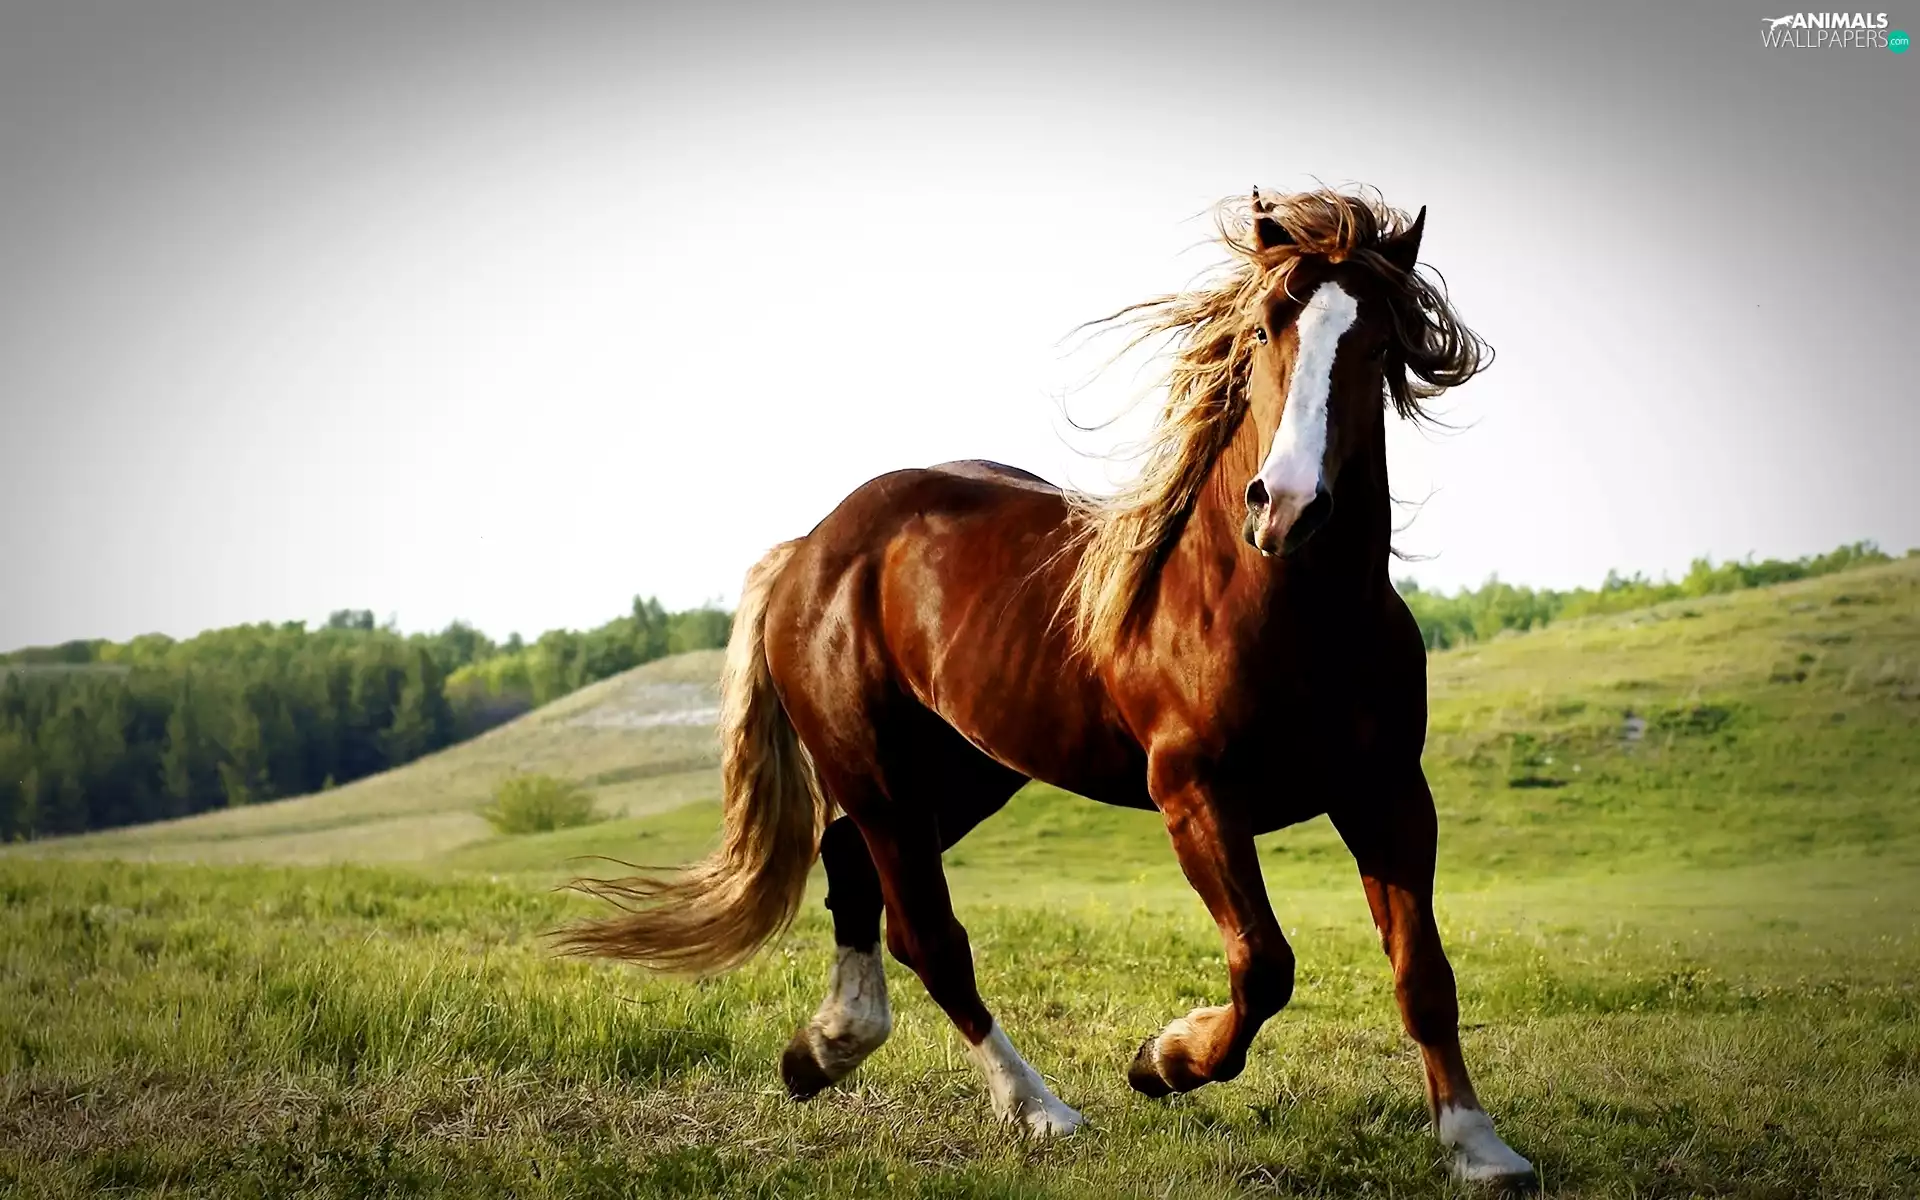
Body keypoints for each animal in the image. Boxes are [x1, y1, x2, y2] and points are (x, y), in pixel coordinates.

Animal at [562, 186, 1536, 1186]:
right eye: (1267, 326)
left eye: (1379, 342)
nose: (1288, 507)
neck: (1282, 609)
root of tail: (812, 548)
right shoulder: (1194, 794)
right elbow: (1264, 964)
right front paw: (1163, 1060)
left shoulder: (1389, 793)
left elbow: (1424, 974)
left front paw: (1479, 1147)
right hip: (879, 776)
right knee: (931, 937)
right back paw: (1038, 1109)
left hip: (965, 773)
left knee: (852, 872)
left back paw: (823, 1050)